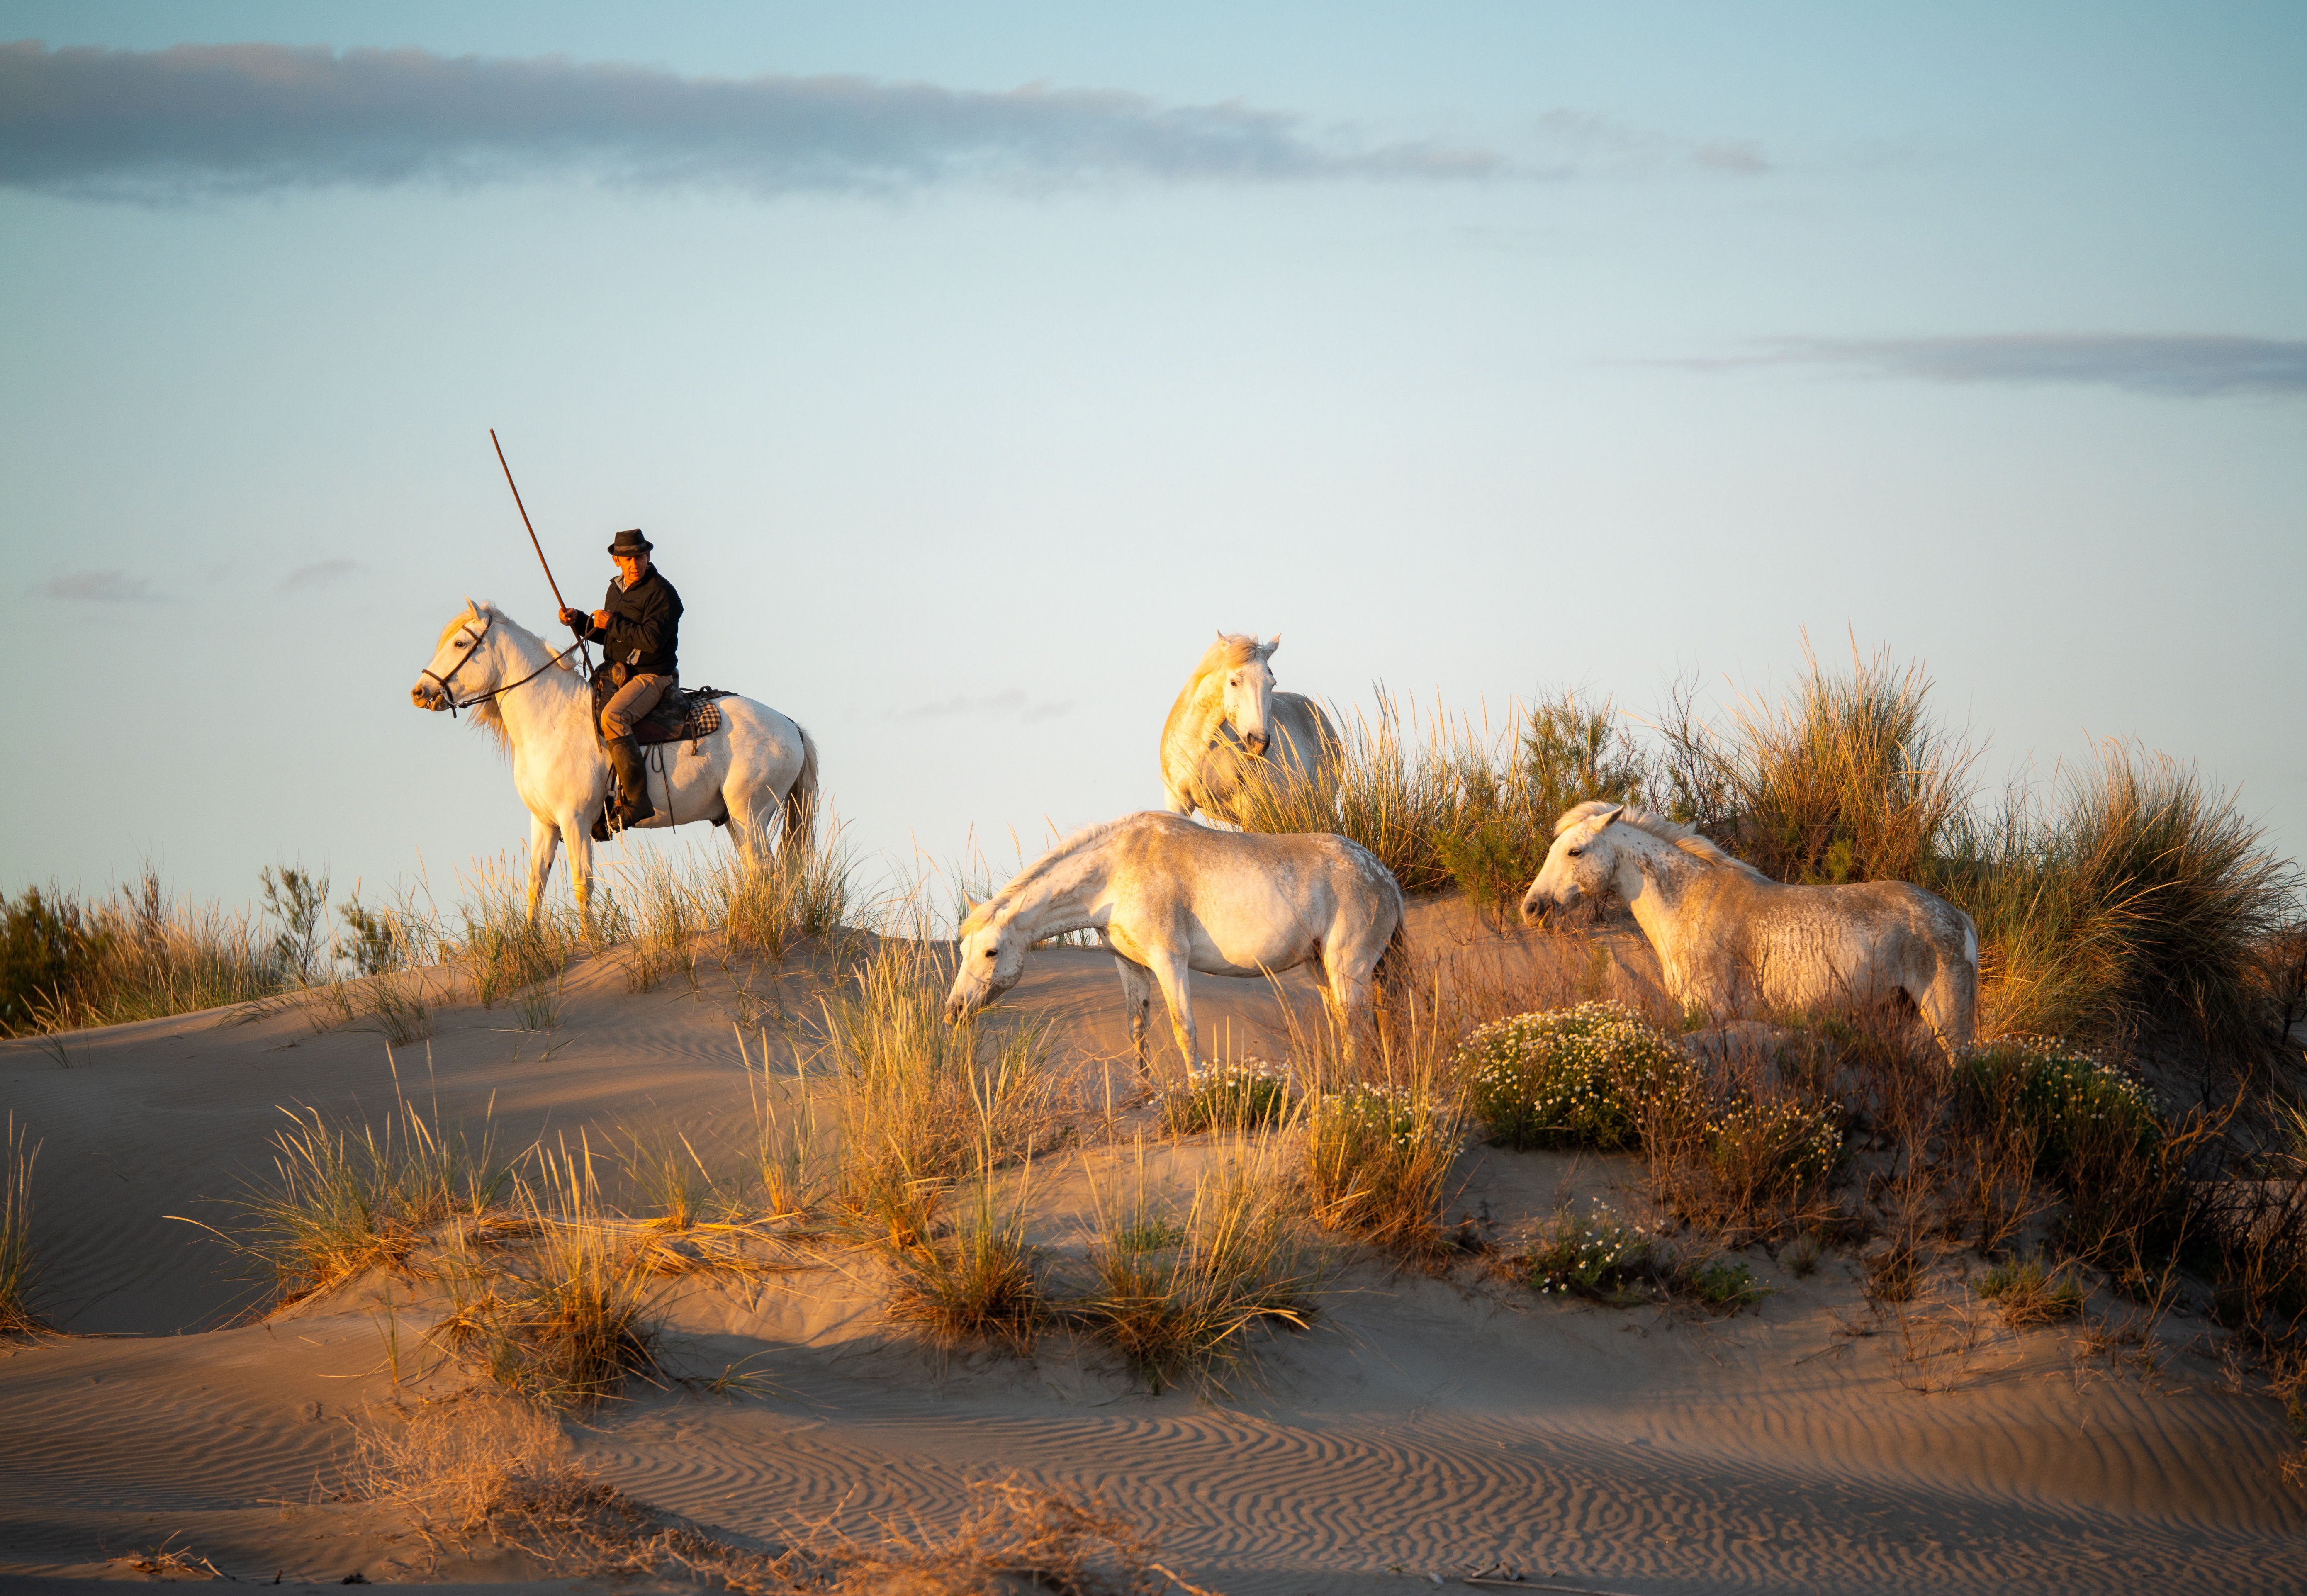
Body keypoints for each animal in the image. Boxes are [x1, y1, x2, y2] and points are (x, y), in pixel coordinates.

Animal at [409, 600, 818, 920]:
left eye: (460, 642)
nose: (420, 691)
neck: (552, 716)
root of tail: (790, 726)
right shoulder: (544, 823)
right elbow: (535, 887)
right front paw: (531, 946)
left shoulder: (574, 820)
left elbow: (581, 884)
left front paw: (588, 945)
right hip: (735, 819)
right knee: (759, 873)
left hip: (750, 813)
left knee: (766, 873)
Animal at [943, 811, 1407, 1077]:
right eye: (962, 951)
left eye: (991, 951)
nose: (954, 1010)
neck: (1117, 870)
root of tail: (1384, 876)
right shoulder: (1129, 964)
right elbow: (1138, 1027)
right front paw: (1144, 1091)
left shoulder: (1169, 961)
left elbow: (1186, 1029)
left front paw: (1199, 1090)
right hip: (1320, 965)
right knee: (1347, 1023)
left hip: (1348, 965)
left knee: (1355, 1024)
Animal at [1159, 632, 1340, 822]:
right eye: (1233, 682)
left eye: (1272, 684)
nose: (1258, 742)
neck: (1202, 748)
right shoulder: (1177, 801)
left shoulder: (1248, 806)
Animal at [1520, 801, 1978, 1056]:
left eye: (1575, 851)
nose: (1531, 906)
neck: (1689, 902)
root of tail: (1960, 919)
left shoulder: (1711, 1010)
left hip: (1948, 1020)